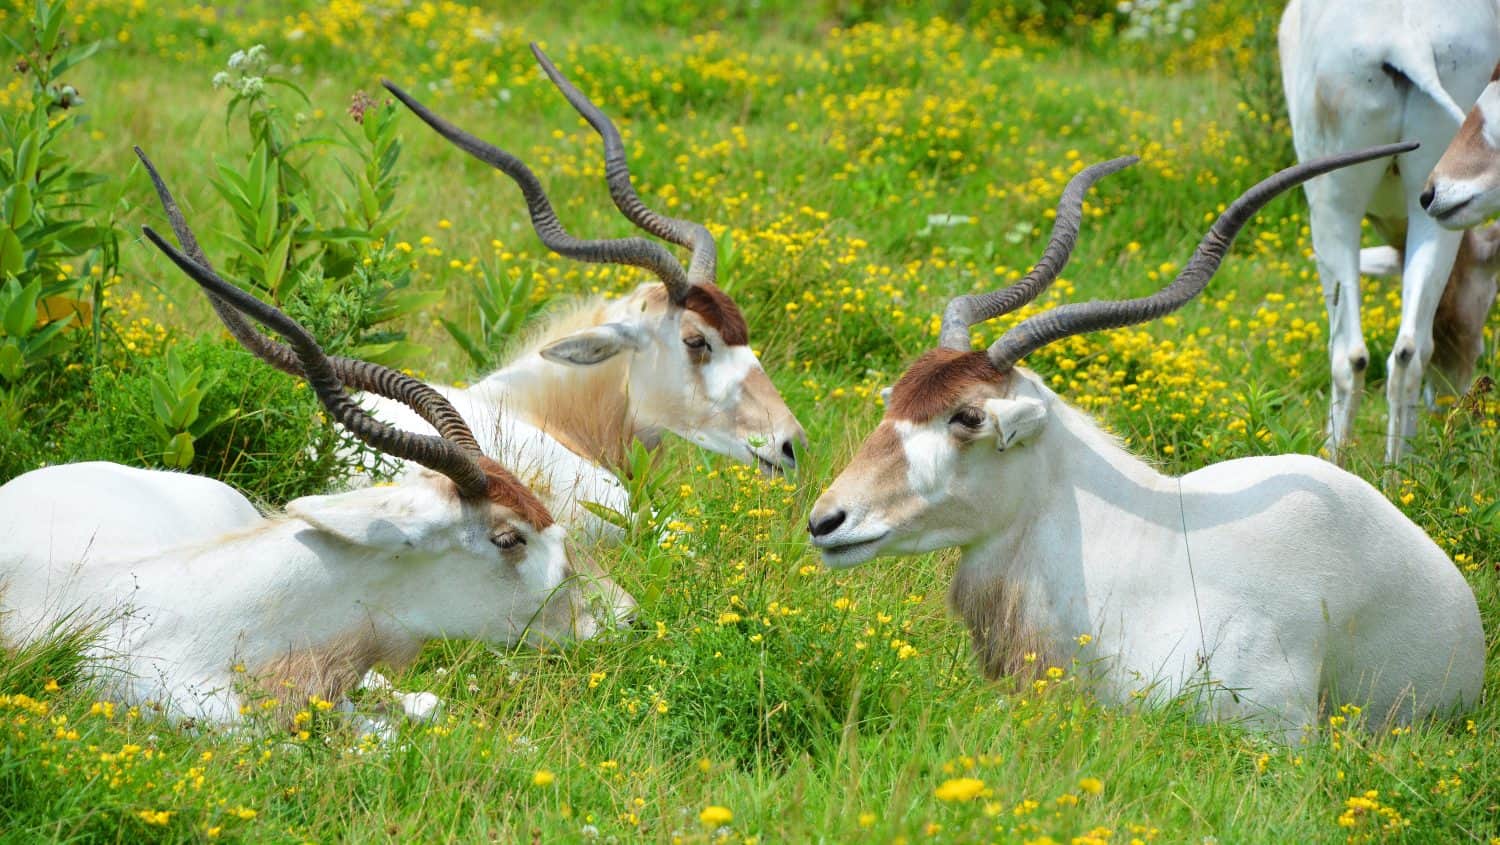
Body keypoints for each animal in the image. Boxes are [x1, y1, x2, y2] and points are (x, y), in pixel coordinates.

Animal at [1279, 0, 1500, 462]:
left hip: (1332, 203)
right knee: (1408, 352)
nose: (1452, 401)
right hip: (1435, 204)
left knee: (1351, 354)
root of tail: (1407, 41)